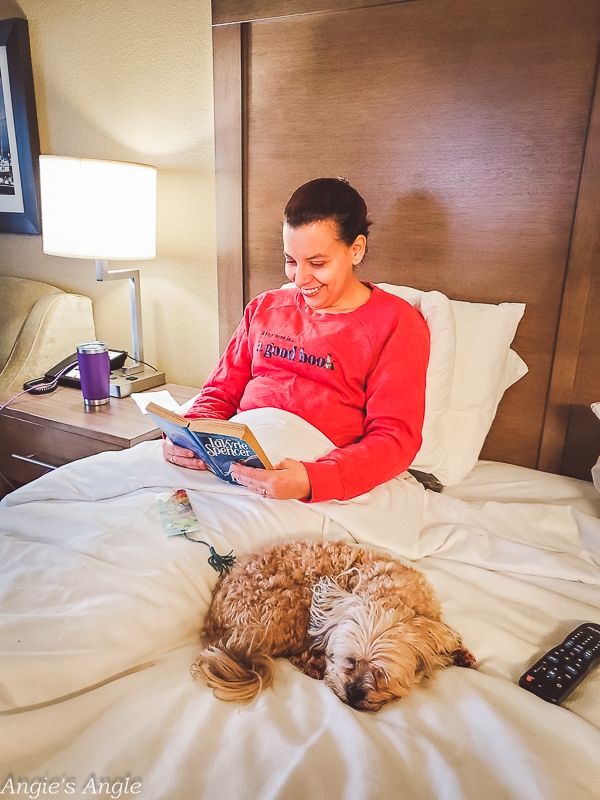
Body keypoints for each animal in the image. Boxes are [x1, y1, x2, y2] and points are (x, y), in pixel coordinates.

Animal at [191, 540, 474, 708]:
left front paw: (459, 653)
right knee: (296, 654)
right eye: (349, 661)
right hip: (290, 609)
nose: (353, 693)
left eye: (380, 675)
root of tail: (214, 619)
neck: (390, 595)